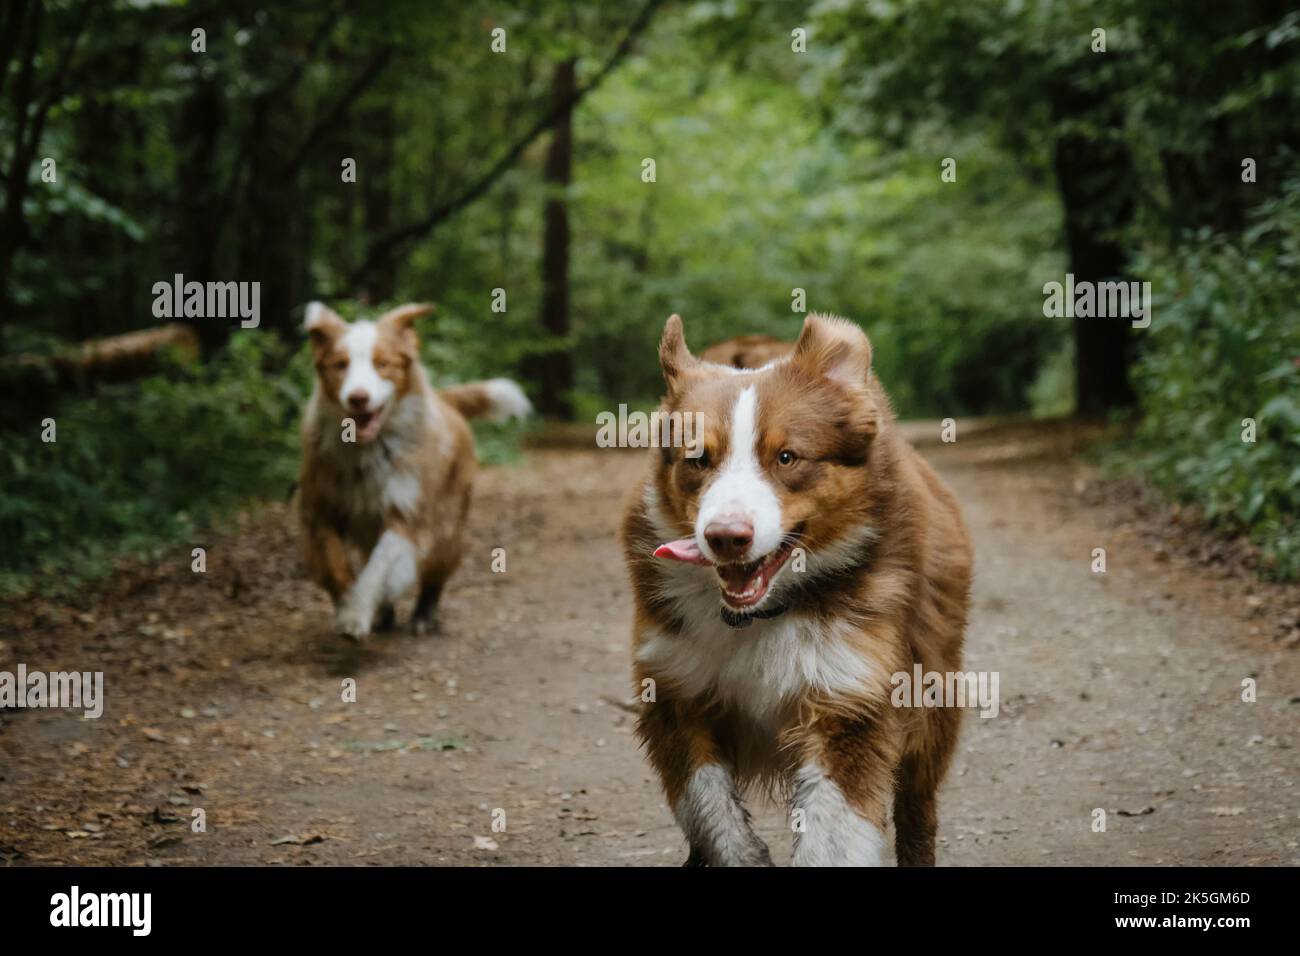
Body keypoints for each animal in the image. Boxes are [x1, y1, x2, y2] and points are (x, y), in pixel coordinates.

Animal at [297, 303, 527, 639]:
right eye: (340, 365)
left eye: (382, 364)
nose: (358, 397)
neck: (368, 451)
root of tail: (445, 400)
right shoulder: (320, 510)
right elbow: (334, 564)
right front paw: (347, 606)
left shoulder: (407, 514)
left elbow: (379, 568)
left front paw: (357, 613)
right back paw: (384, 614)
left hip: (448, 526)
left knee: (434, 573)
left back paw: (423, 615)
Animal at [624, 312, 972, 868]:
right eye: (698, 459)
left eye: (786, 457)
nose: (726, 537)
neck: (760, 614)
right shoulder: (675, 690)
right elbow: (707, 805)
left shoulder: (849, 697)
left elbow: (834, 833)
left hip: (932, 693)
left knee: (919, 803)